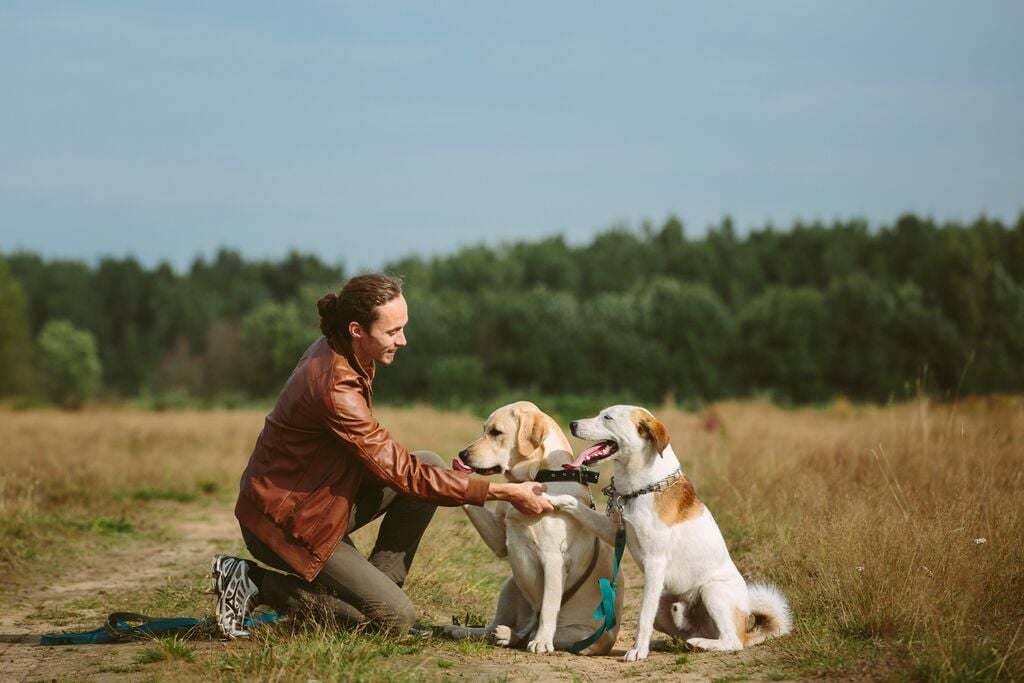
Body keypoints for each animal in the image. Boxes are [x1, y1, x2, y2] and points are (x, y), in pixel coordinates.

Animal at [450, 401, 622, 655]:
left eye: (496, 432)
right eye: (484, 429)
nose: (462, 454)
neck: (539, 476)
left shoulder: (553, 559)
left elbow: (549, 607)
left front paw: (541, 641)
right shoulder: (500, 540)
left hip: (578, 634)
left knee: (529, 632)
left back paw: (514, 635)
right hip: (510, 584)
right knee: (495, 629)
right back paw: (469, 630)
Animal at [548, 405, 786, 663]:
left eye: (607, 417)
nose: (572, 424)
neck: (642, 488)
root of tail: (747, 629)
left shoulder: (654, 563)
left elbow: (643, 616)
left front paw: (638, 651)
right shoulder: (615, 531)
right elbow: (577, 506)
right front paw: (550, 497)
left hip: (712, 592)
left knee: (732, 642)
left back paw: (700, 643)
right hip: (665, 602)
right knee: (687, 633)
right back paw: (674, 642)